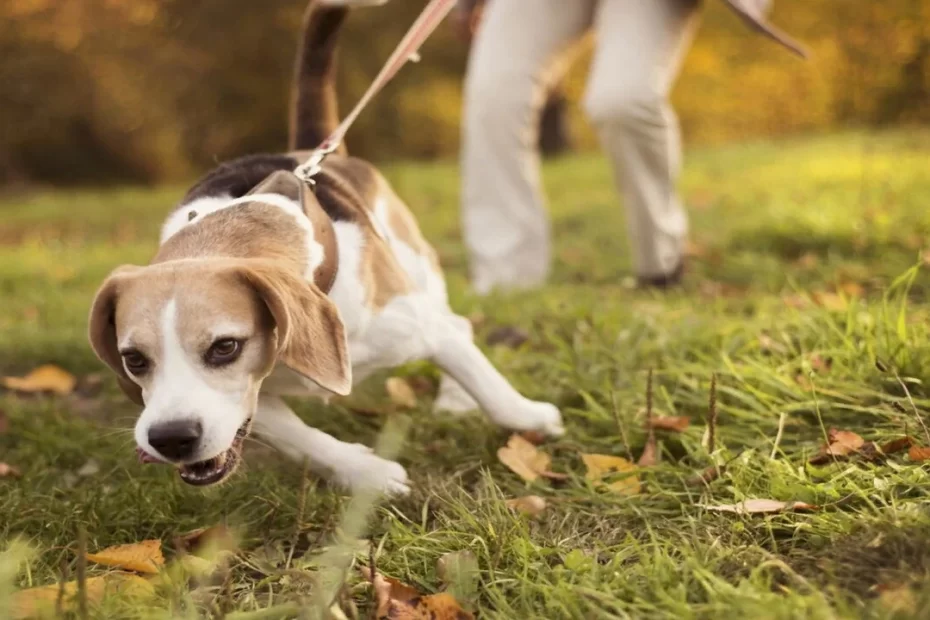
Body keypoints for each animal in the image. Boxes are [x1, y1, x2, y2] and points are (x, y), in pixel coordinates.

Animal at [87, 0, 560, 494]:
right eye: (133, 359)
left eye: (225, 347)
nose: (170, 437)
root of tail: (309, 152)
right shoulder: (255, 400)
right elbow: (301, 440)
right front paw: (367, 473)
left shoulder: (419, 327)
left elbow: (489, 387)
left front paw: (534, 419)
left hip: (419, 273)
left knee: (459, 324)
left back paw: (456, 398)